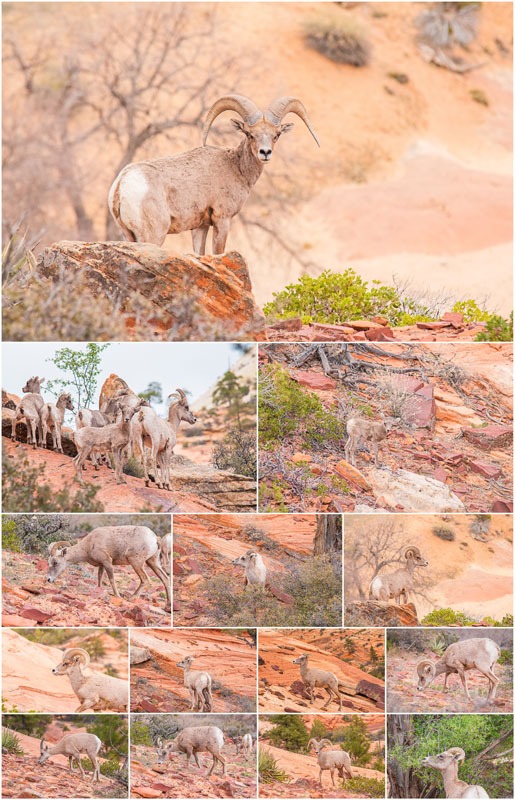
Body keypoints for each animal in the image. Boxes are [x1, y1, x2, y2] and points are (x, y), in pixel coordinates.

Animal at [108, 94, 319, 254]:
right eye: (249, 134)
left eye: (277, 135)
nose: (265, 152)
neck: (235, 167)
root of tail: (121, 184)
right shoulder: (222, 220)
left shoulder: (200, 227)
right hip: (153, 235)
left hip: (129, 235)